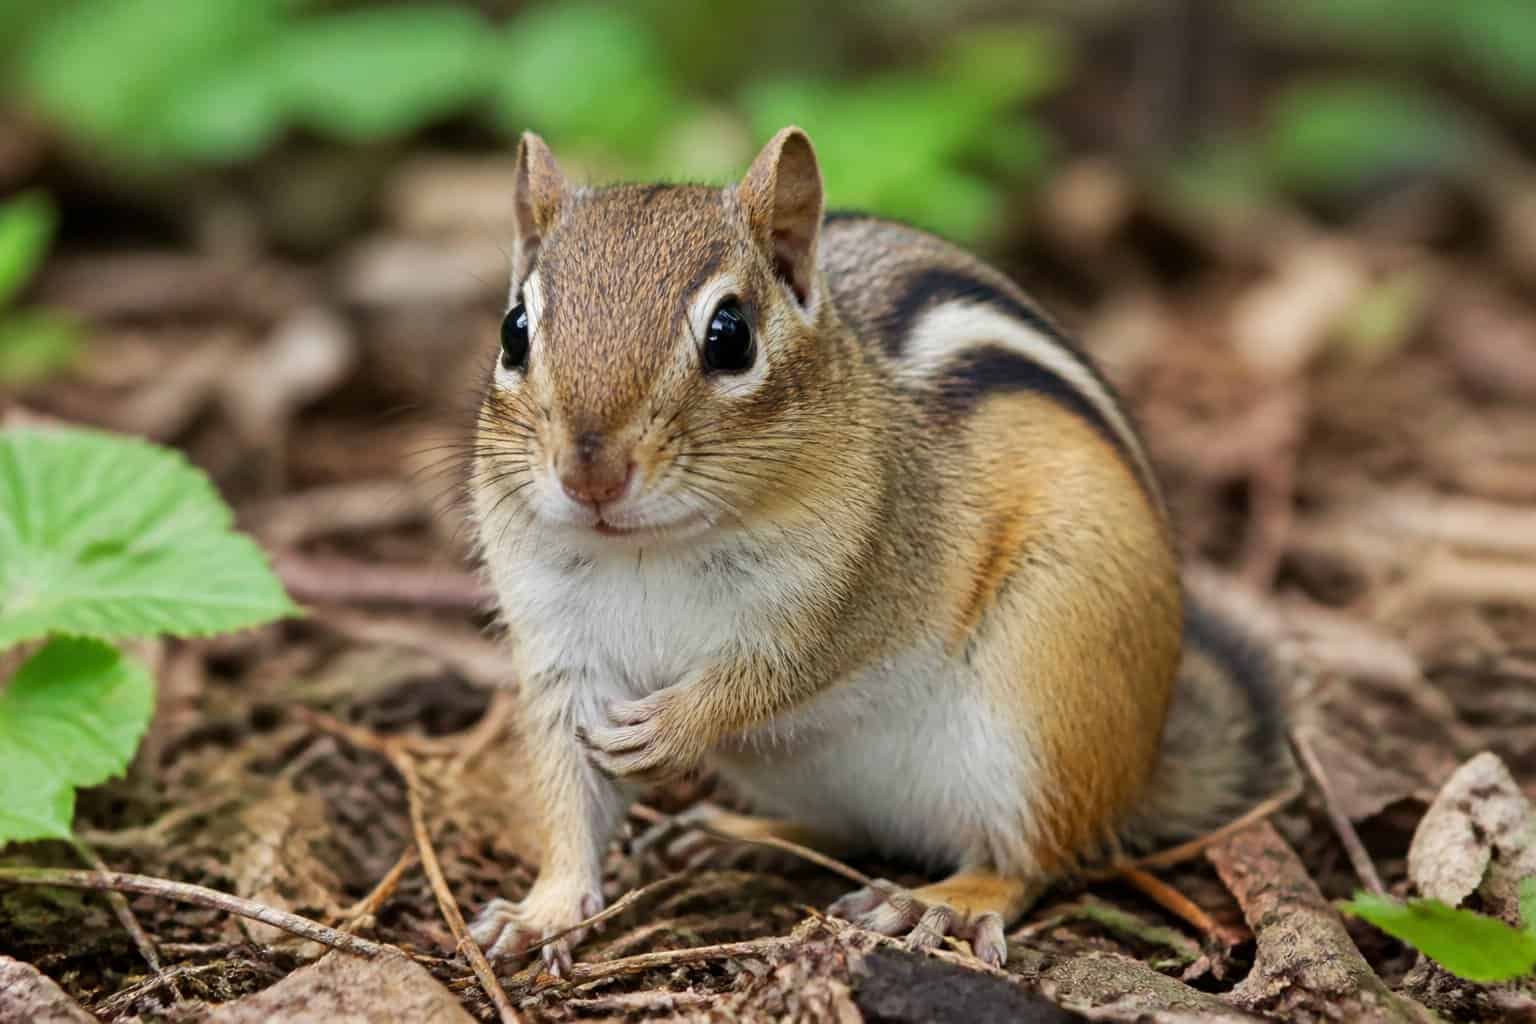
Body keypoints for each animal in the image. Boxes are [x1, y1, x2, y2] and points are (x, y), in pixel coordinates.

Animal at [466, 126, 1295, 973]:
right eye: (513, 331)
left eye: (730, 336)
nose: (589, 473)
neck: (651, 549)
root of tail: (1144, 765)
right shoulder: (562, 651)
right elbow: (570, 795)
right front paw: (543, 911)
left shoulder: (858, 591)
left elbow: (774, 676)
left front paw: (675, 728)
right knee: (851, 830)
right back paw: (740, 834)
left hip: (1048, 691)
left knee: (1032, 859)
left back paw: (940, 901)